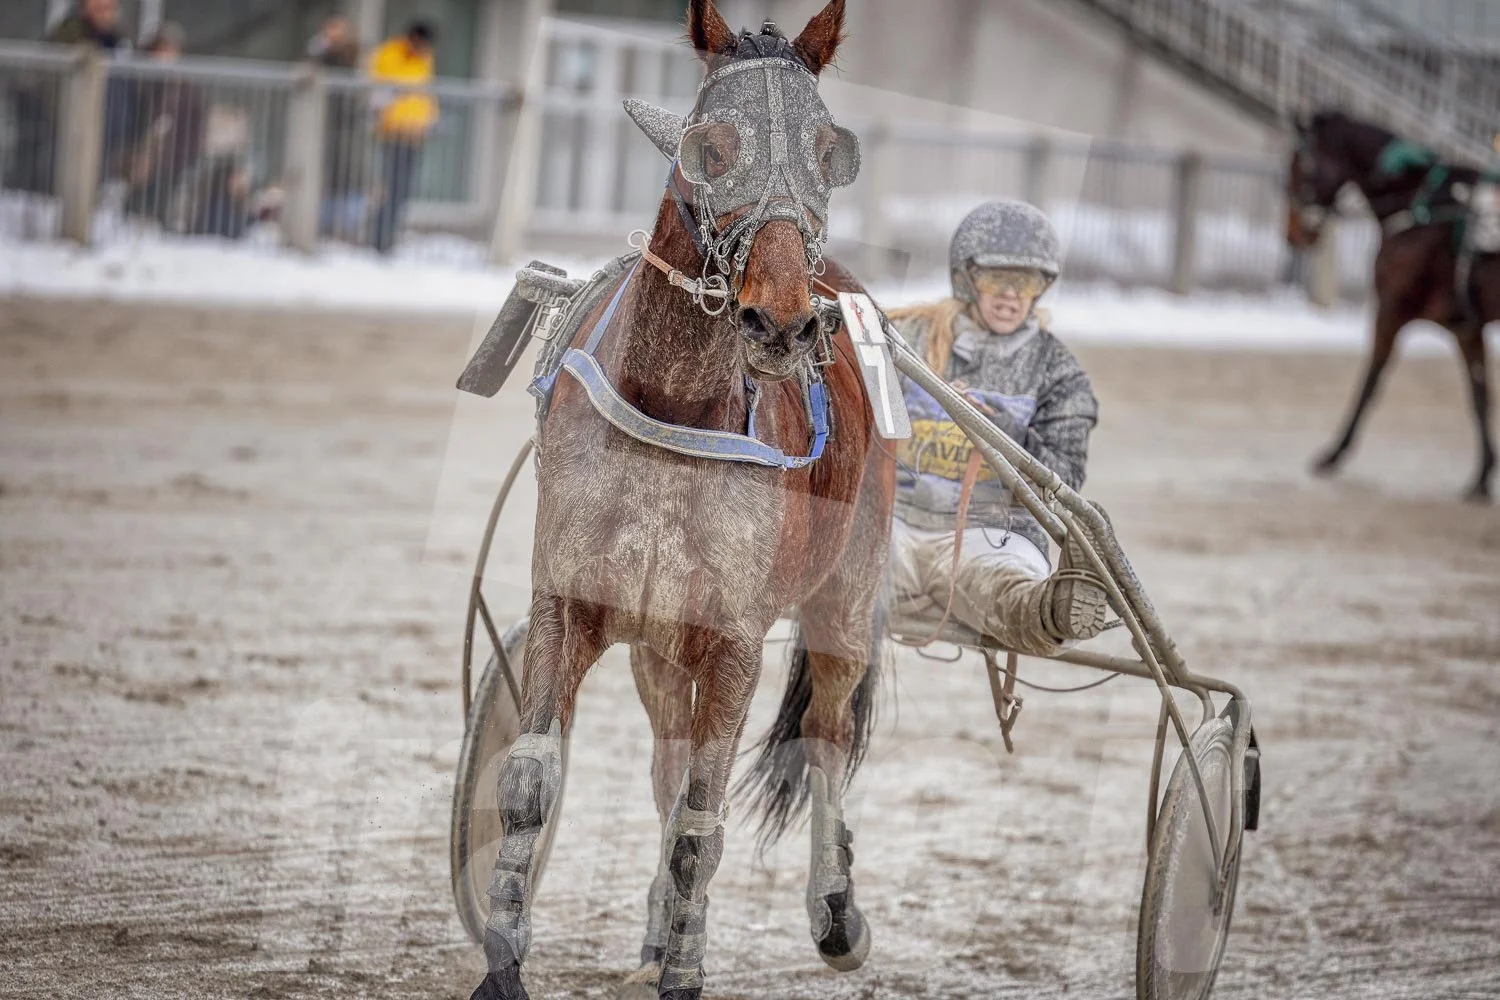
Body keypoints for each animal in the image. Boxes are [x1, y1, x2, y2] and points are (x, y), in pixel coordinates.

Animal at [469, 3, 897, 999]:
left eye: (828, 150)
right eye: (710, 145)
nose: (780, 322)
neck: (672, 407)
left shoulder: (734, 642)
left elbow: (704, 825)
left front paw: (688, 969)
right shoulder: (574, 603)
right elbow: (531, 786)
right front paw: (504, 963)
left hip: (844, 600)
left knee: (825, 737)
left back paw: (835, 914)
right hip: (661, 651)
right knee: (668, 764)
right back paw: (661, 931)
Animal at [1286, 110, 1498, 501]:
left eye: (1298, 167)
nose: (1292, 232)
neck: (1418, 203)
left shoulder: (1392, 310)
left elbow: (1371, 380)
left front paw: (1334, 452)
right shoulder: (1467, 327)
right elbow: (1480, 396)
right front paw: (1482, 476)